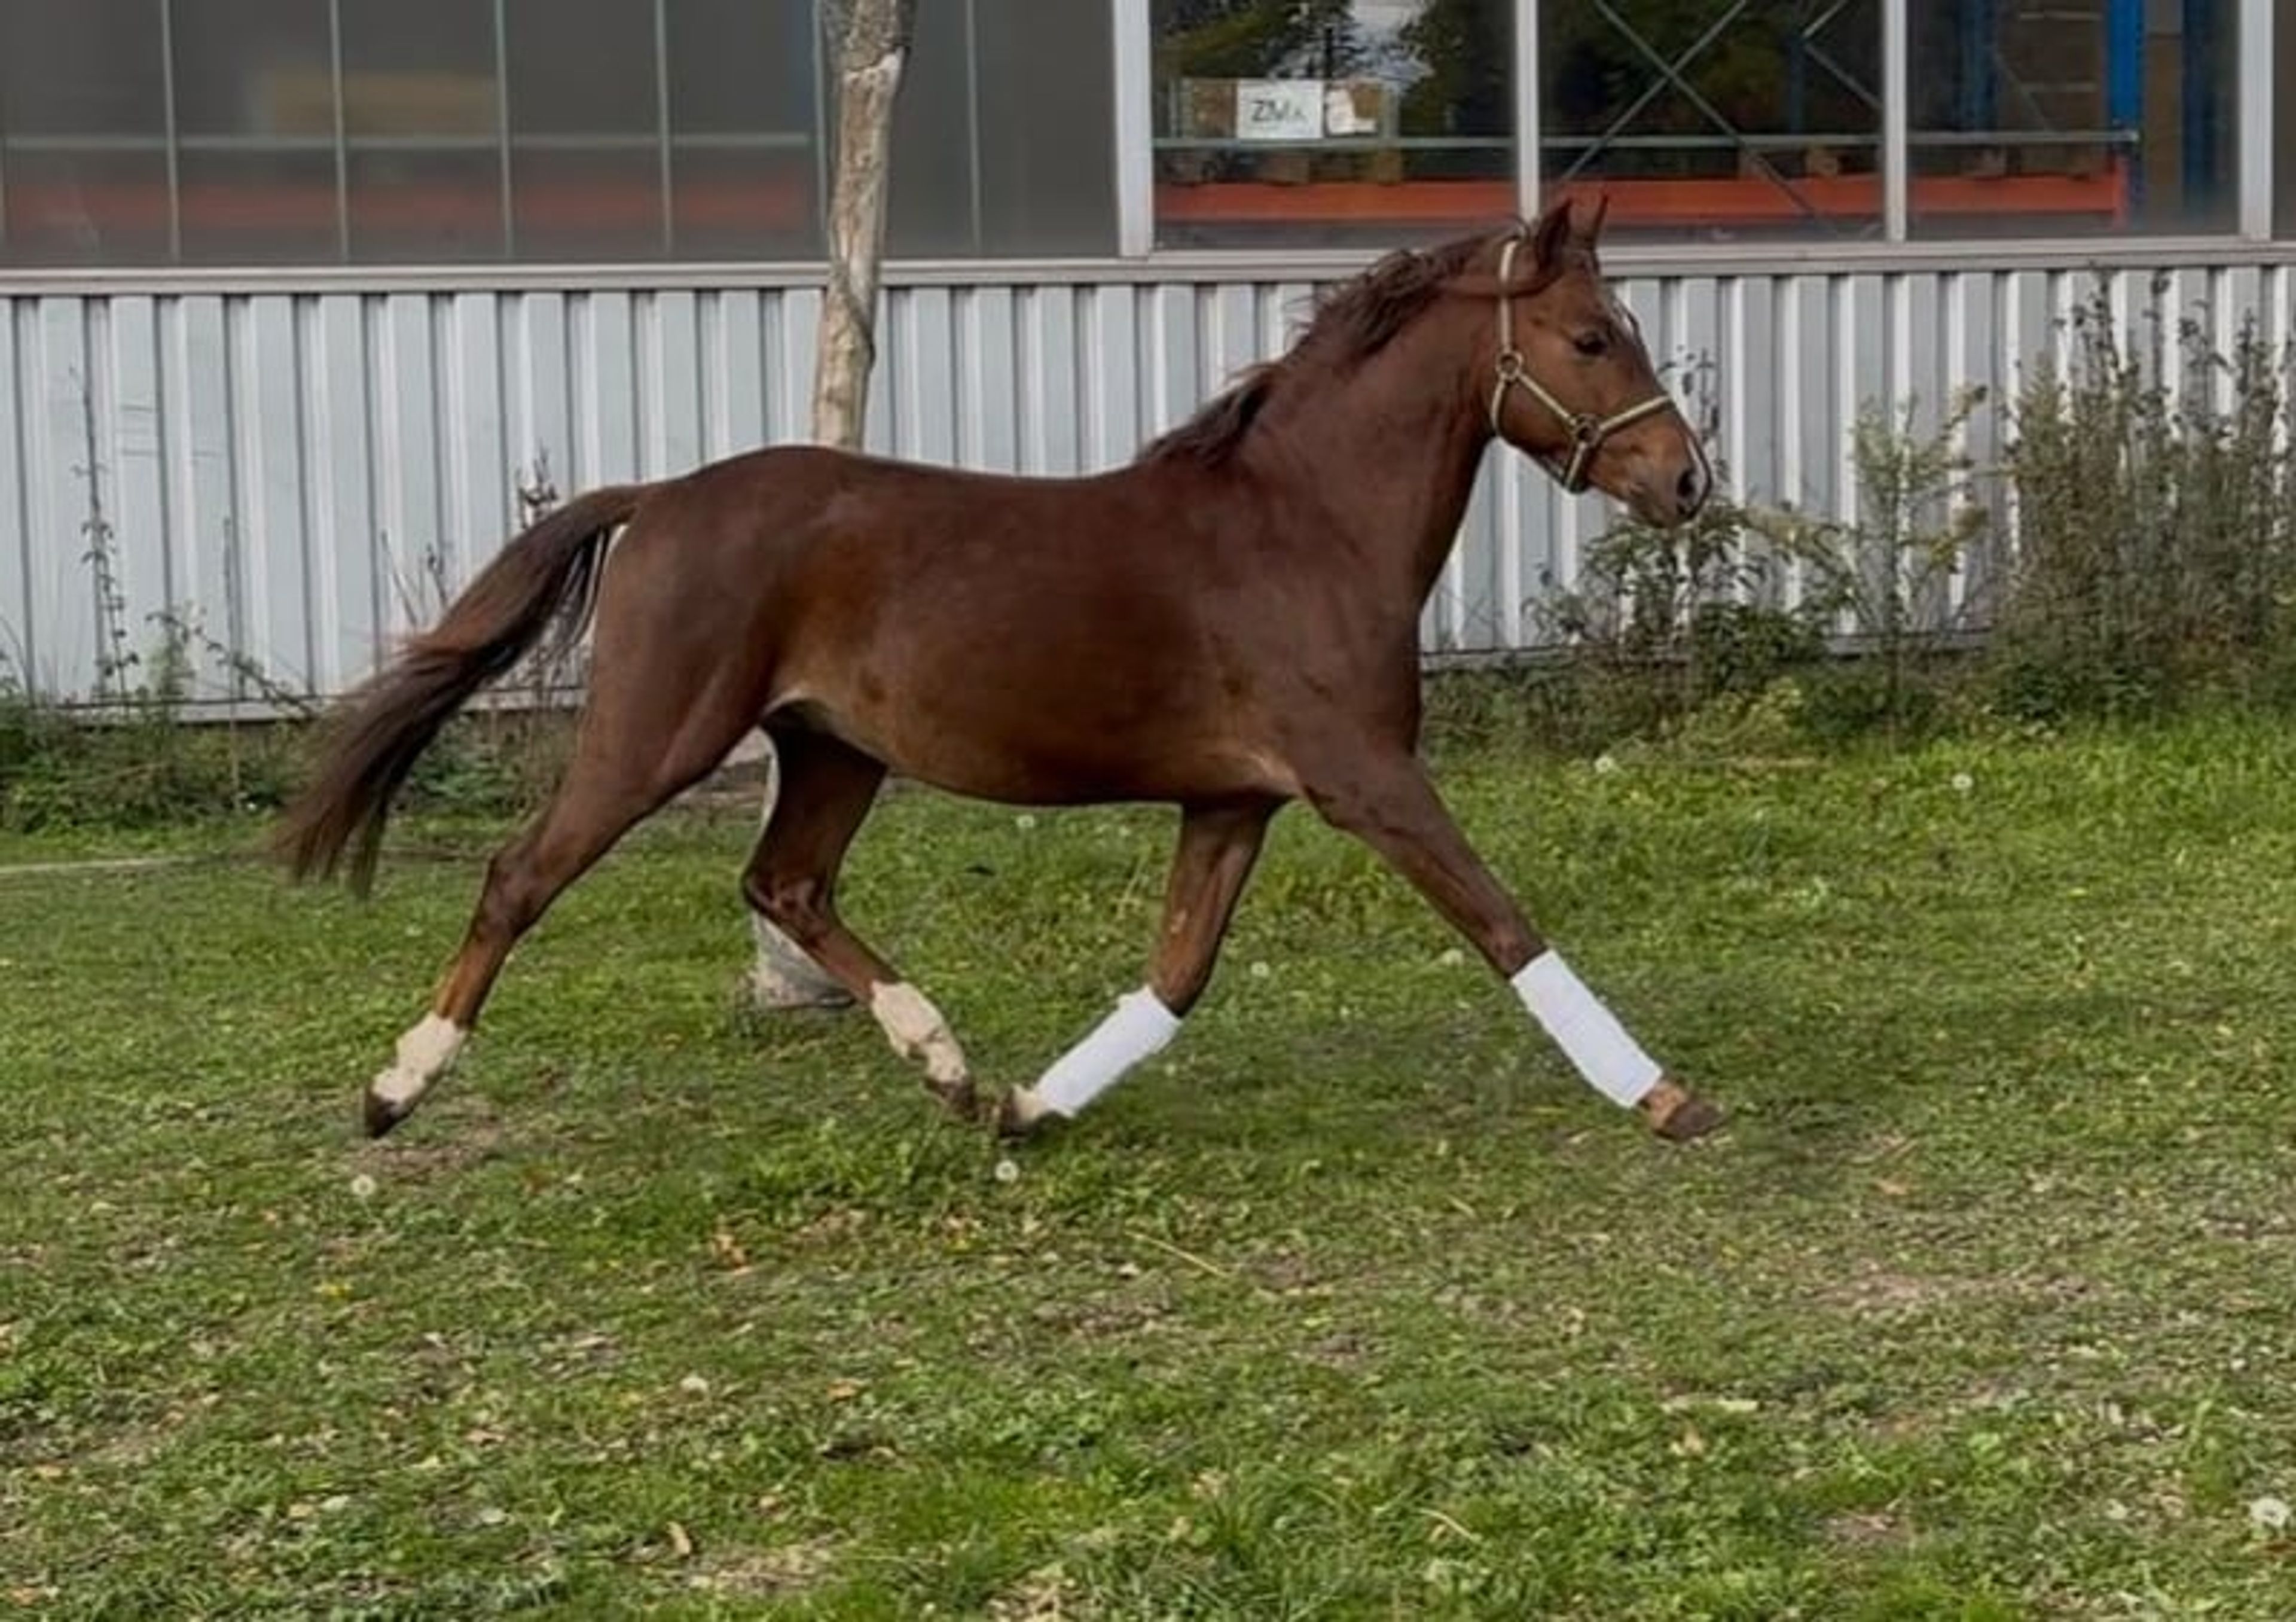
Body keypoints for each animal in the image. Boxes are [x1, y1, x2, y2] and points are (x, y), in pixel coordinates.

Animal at [274, 196, 1724, 1147]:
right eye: (1592, 338)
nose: (1687, 482)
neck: (1303, 527)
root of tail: (661, 498)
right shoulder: (1364, 776)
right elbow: (1503, 921)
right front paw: (1669, 1097)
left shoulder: (1234, 799)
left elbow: (1178, 972)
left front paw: (1030, 1107)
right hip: (657, 731)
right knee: (522, 873)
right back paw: (394, 1090)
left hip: (832, 749)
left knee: (785, 883)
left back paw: (949, 1064)